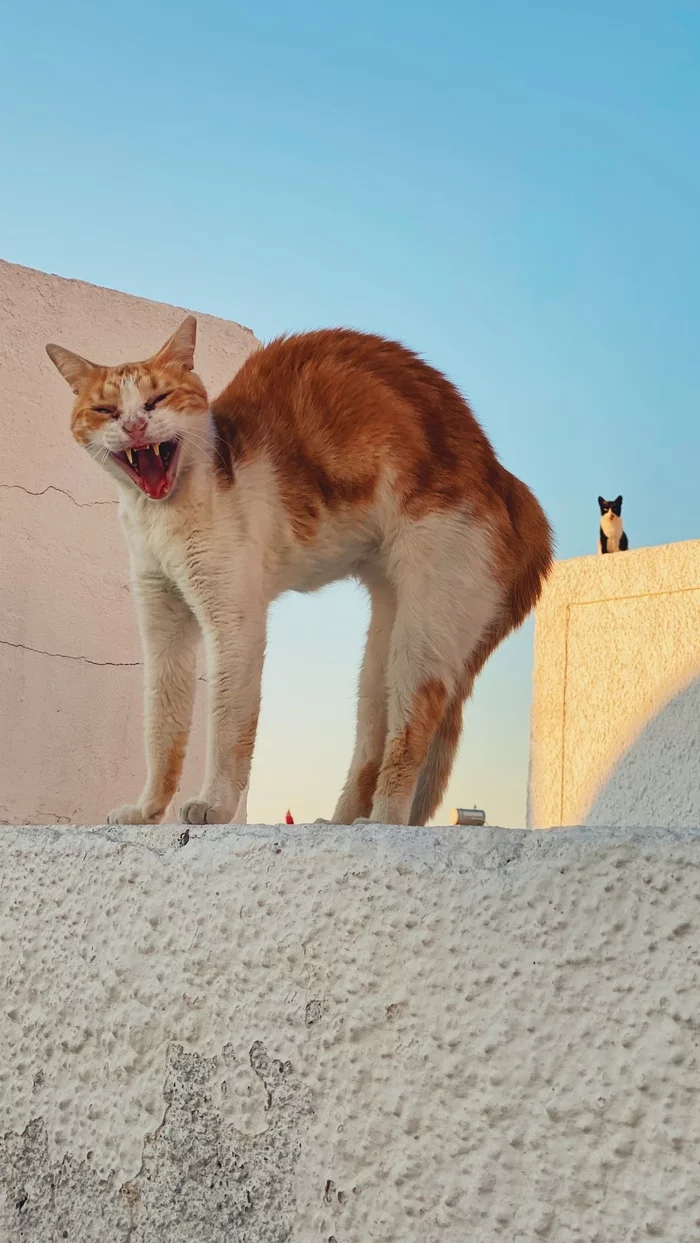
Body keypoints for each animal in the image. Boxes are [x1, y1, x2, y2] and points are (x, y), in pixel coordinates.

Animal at [46, 318, 557, 825]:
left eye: (158, 399)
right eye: (106, 409)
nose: (135, 425)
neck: (163, 513)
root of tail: (505, 481)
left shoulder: (234, 623)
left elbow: (227, 725)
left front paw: (215, 804)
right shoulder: (163, 628)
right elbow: (161, 727)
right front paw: (147, 810)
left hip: (425, 632)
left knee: (411, 734)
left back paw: (384, 819)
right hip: (381, 652)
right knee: (371, 739)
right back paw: (341, 821)